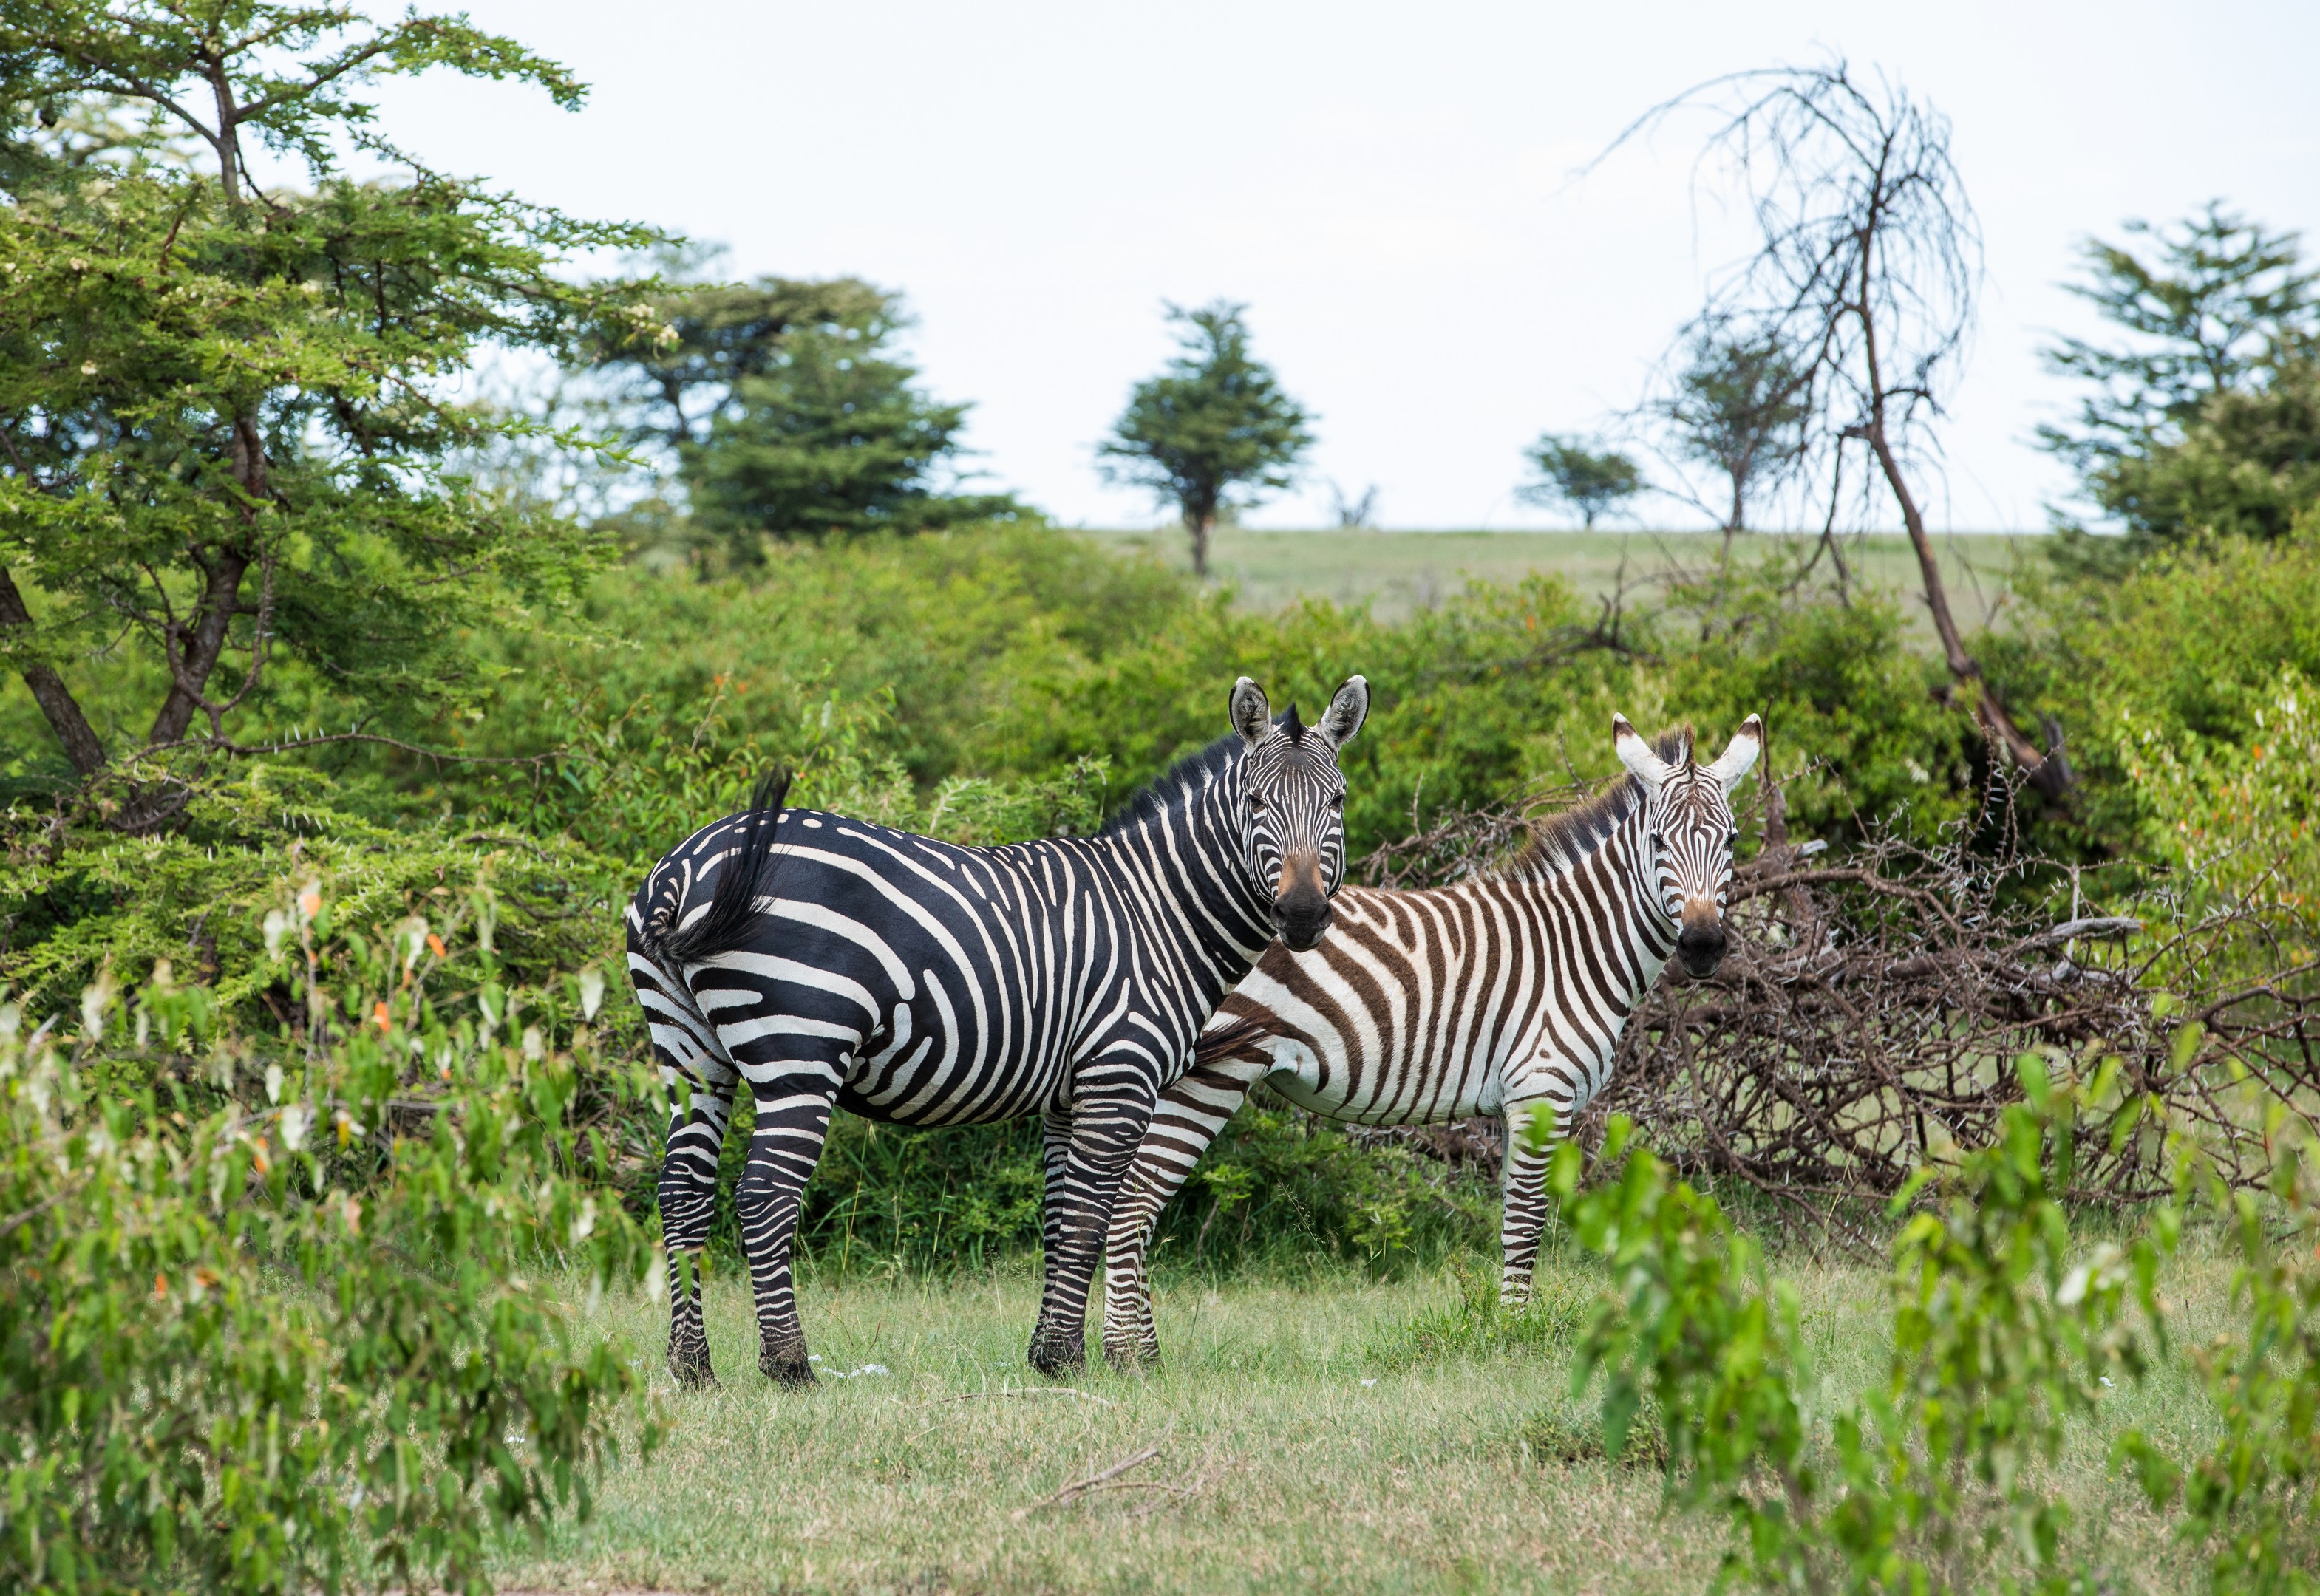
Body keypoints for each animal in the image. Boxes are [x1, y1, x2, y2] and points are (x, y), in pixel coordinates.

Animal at [627, 674, 1370, 1386]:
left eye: (1336, 802)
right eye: (1255, 802)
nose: (1303, 915)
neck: (1160, 912)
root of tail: (686, 868)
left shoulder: (1068, 1094)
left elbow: (1059, 1219)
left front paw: (1048, 1354)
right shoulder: (1120, 1076)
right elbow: (1089, 1218)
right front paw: (1070, 1357)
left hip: (689, 1054)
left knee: (683, 1194)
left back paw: (691, 1368)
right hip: (800, 1049)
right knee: (763, 1198)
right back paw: (789, 1366)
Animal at [1100, 712, 1763, 1367]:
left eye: (1731, 841)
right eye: (1658, 844)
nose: (1703, 945)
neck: (1574, 943)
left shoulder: (1516, 1100)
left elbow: (1509, 1213)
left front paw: (1505, 1323)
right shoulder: (1542, 1086)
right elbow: (1526, 1221)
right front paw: (1512, 1334)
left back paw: (1139, 1351)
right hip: (1207, 1073)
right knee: (1133, 1202)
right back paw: (1131, 1357)